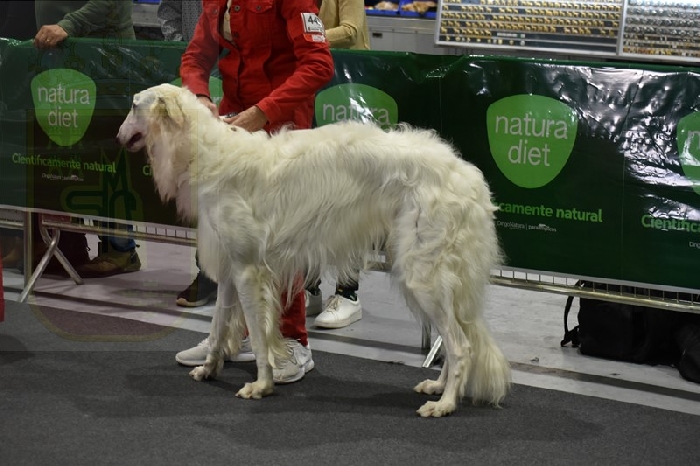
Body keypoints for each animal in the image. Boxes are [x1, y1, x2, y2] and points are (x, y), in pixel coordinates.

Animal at [116, 83, 511, 417]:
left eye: (134, 105)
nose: (117, 136)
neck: (212, 154)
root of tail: (469, 175)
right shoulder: (230, 271)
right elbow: (217, 330)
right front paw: (208, 368)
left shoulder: (249, 271)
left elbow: (258, 337)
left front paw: (261, 385)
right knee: (458, 341)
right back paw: (438, 387)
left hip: (421, 274)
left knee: (461, 347)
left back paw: (445, 404)